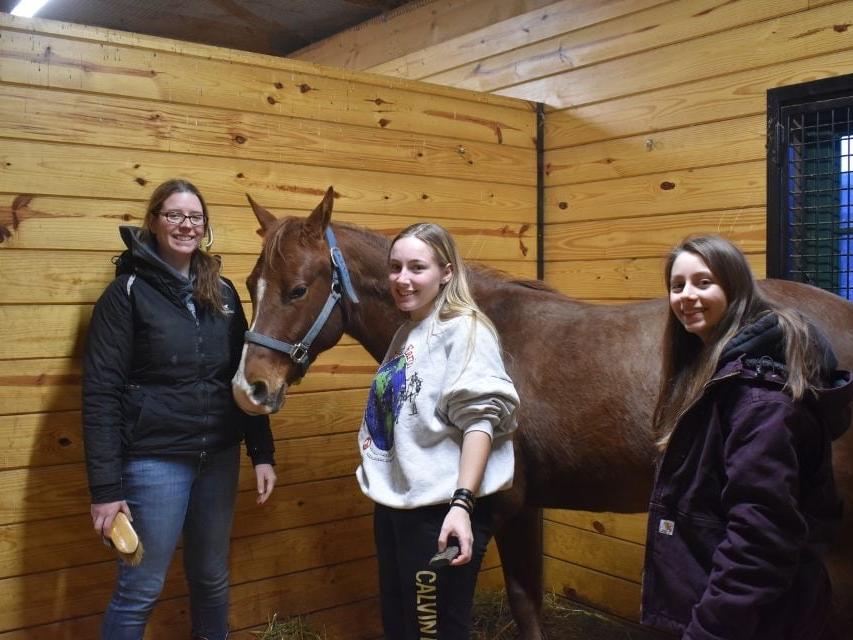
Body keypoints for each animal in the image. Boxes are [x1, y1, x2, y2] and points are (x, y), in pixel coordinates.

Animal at [231, 188, 853, 639]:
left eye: (298, 289)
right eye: (251, 283)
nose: (250, 388)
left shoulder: (504, 508)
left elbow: (523, 602)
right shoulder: (526, 509)